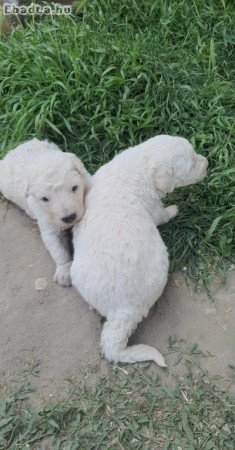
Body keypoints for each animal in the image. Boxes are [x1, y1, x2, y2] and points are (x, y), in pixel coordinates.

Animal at [0, 138, 90, 284]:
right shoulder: (46, 221)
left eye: (74, 187)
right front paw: (64, 272)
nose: (69, 217)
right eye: (44, 199)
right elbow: (58, 248)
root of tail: (14, 149)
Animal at [70, 134, 208, 366]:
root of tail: (121, 311)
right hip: (159, 266)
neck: (141, 162)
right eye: (190, 165)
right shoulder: (153, 205)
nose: (207, 163)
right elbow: (162, 214)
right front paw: (174, 209)